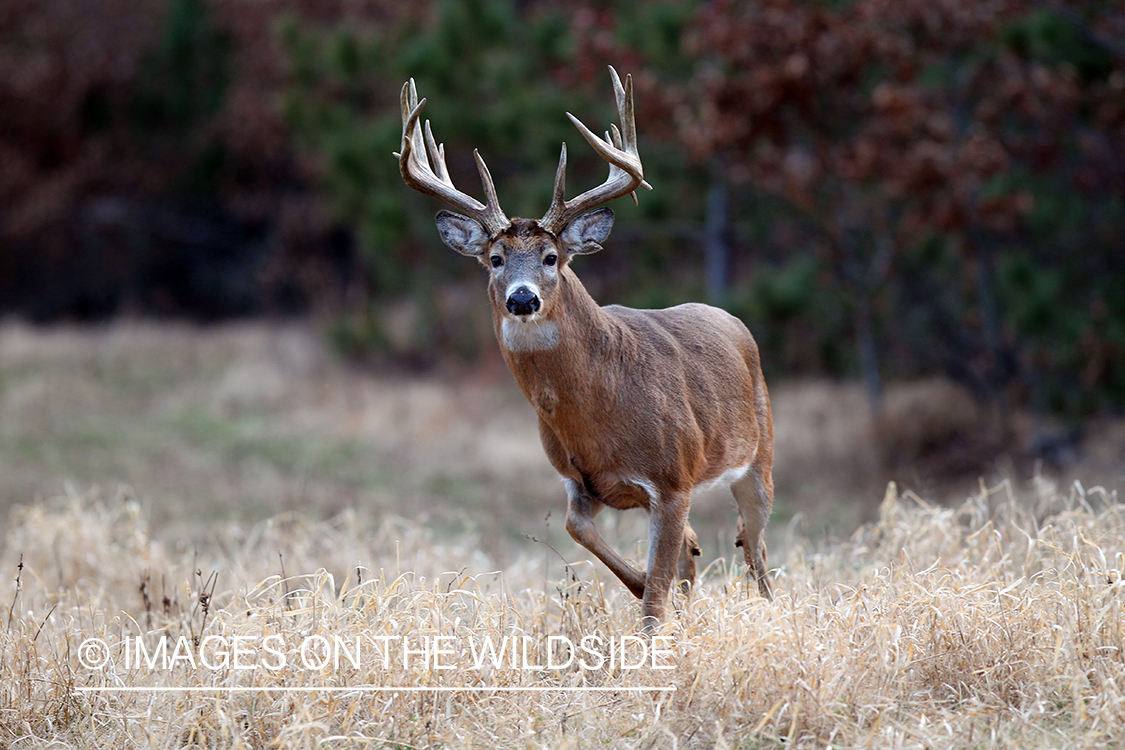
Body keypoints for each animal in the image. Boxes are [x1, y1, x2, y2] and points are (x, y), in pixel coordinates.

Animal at [396, 68, 774, 634]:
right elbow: (586, 533)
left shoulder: (674, 478)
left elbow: (657, 590)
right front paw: (658, 585)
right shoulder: (581, 481)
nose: (522, 298)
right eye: (495, 259)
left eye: (552, 257)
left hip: (759, 456)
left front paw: (655, 623)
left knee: (756, 549)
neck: (601, 413)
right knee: (717, 548)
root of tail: (734, 322)